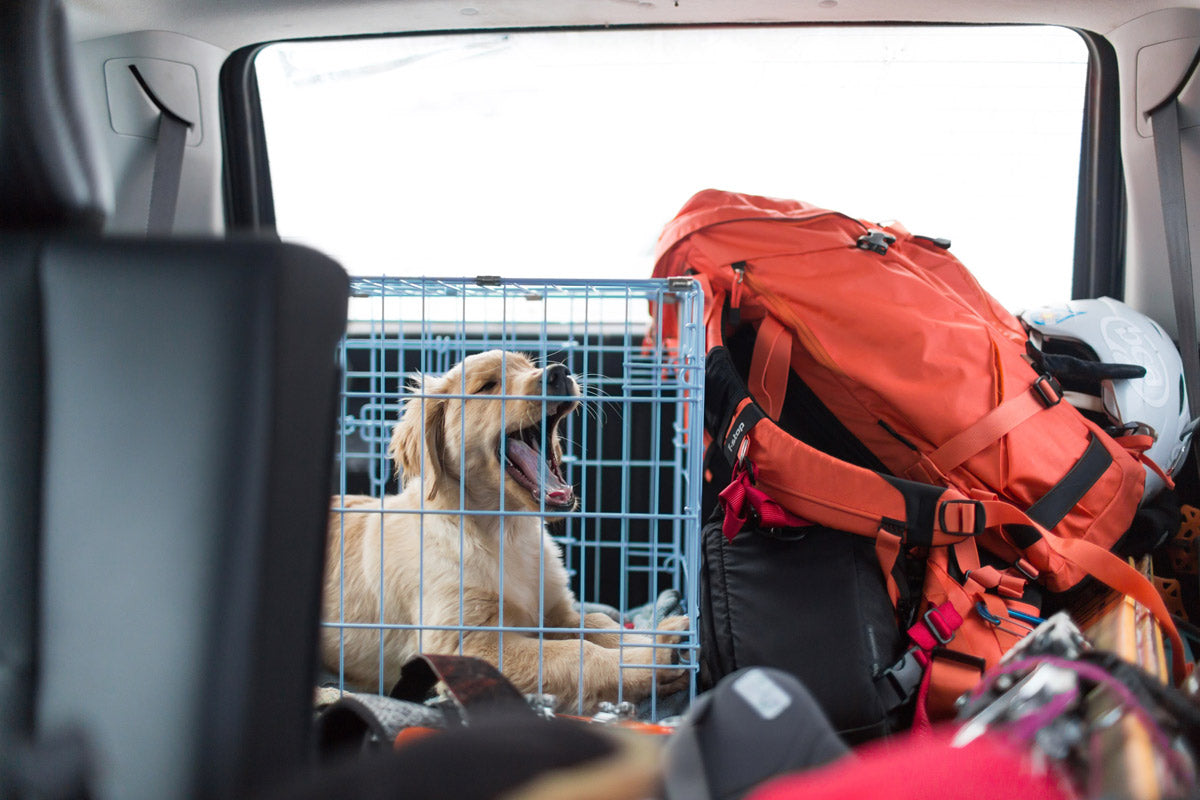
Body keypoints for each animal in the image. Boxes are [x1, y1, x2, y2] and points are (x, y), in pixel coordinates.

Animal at [324, 352, 691, 714]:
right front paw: (654, 661)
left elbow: (598, 623)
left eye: (530, 366)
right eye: (488, 385)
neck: (505, 530)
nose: (559, 373)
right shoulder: (466, 643)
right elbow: (577, 654)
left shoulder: (555, 612)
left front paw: (654, 639)